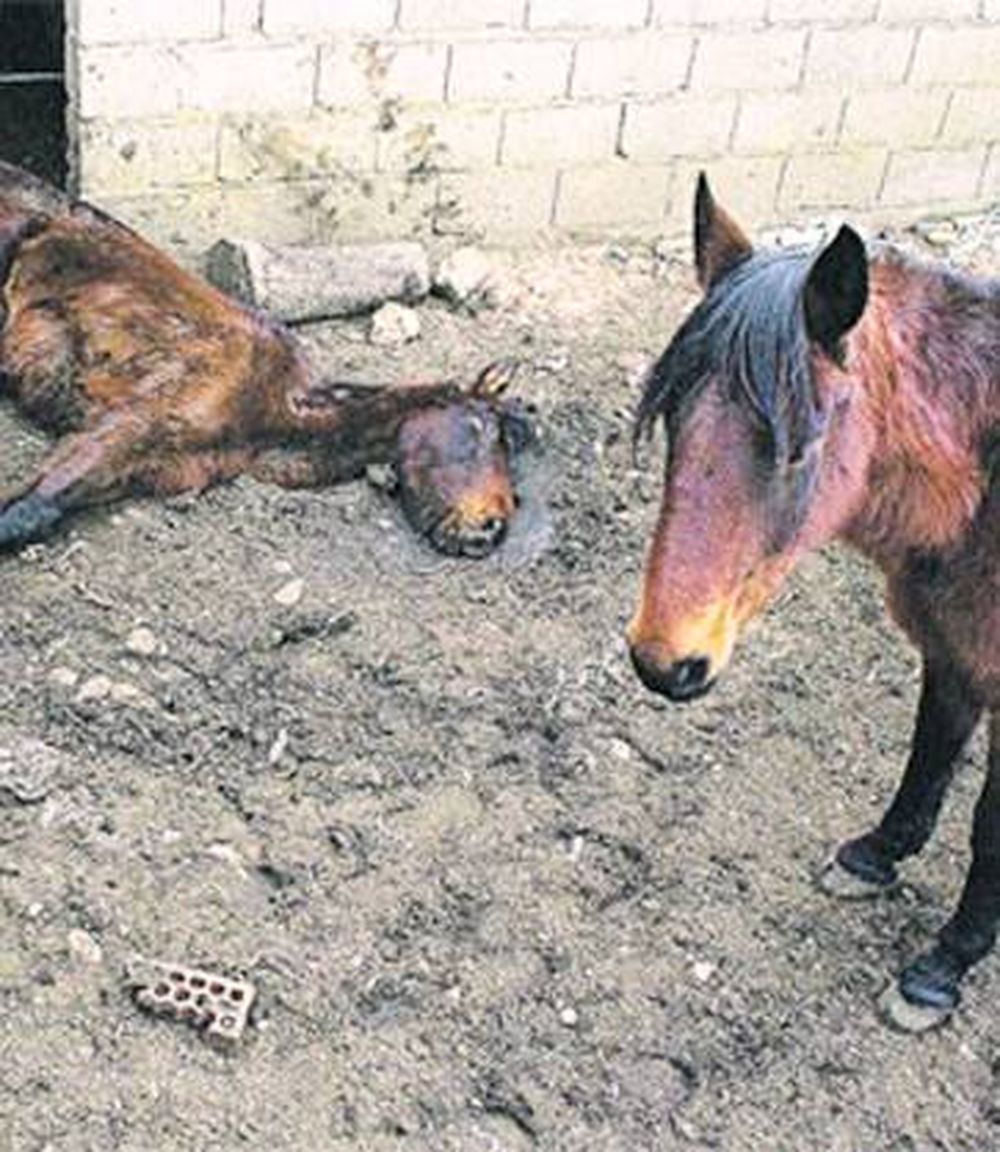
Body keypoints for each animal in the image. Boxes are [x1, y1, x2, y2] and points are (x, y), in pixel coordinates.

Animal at [0, 161, 528, 558]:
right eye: (483, 431)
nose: (492, 529)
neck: (274, 408)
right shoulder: (122, 428)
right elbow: (25, 512)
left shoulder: (138, 465)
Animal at [627, 173, 1000, 1032]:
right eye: (673, 420)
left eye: (801, 446)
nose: (664, 661)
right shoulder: (954, 647)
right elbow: (931, 751)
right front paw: (874, 857)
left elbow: (991, 831)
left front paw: (940, 969)